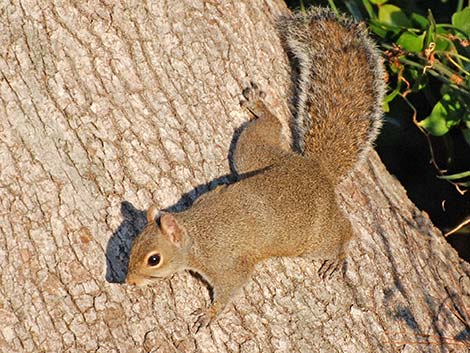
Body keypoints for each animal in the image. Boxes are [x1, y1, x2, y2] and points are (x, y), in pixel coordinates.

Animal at [125, 6, 386, 332]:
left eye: (154, 260)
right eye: (133, 245)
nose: (129, 281)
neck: (195, 234)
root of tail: (316, 169)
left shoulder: (227, 264)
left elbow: (231, 287)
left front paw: (209, 314)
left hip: (311, 238)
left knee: (343, 232)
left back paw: (337, 256)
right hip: (252, 157)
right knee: (267, 129)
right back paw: (259, 108)